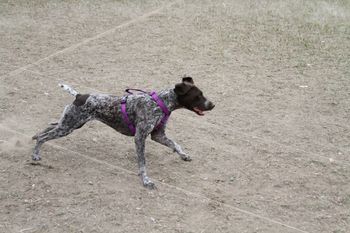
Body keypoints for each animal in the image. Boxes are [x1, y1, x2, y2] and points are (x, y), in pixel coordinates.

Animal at [32, 77, 215, 188]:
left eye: (202, 94)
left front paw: (184, 155)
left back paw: (34, 139)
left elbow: (175, 144)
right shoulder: (140, 137)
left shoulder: (158, 135)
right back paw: (35, 156)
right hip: (68, 127)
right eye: (197, 96)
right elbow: (142, 163)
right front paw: (146, 180)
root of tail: (79, 96)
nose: (213, 105)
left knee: (46, 129)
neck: (160, 103)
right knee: (43, 137)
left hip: (70, 124)